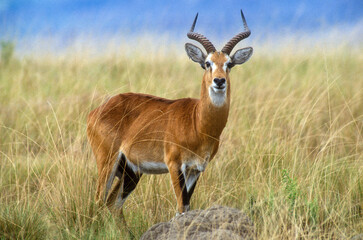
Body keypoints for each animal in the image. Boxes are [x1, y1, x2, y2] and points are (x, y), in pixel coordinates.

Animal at [87, 9, 255, 214]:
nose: (219, 81)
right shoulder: (174, 165)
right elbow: (181, 206)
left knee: (112, 204)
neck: (197, 123)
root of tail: (96, 111)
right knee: (98, 201)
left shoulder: (196, 169)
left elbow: (187, 206)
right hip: (108, 162)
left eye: (229, 64)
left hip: (131, 172)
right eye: (207, 63)